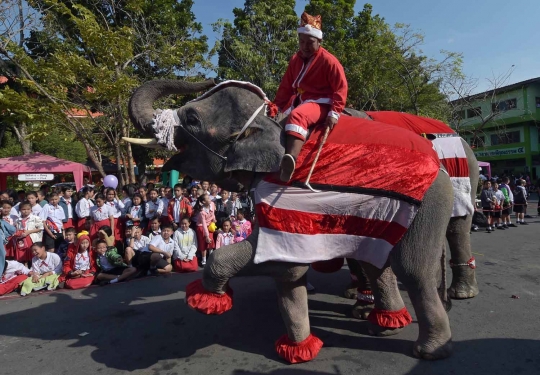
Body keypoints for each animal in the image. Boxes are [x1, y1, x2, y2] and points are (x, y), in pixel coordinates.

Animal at [125, 78, 456, 364]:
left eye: (193, 119)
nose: (208, 80)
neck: (271, 122)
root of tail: (436, 160)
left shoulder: (281, 193)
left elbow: (277, 261)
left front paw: (209, 300)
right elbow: (288, 273)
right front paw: (299, 351)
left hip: (430, 199)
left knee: (412, 269)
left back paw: (428, 350)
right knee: (376, 263)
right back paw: (385, 325)